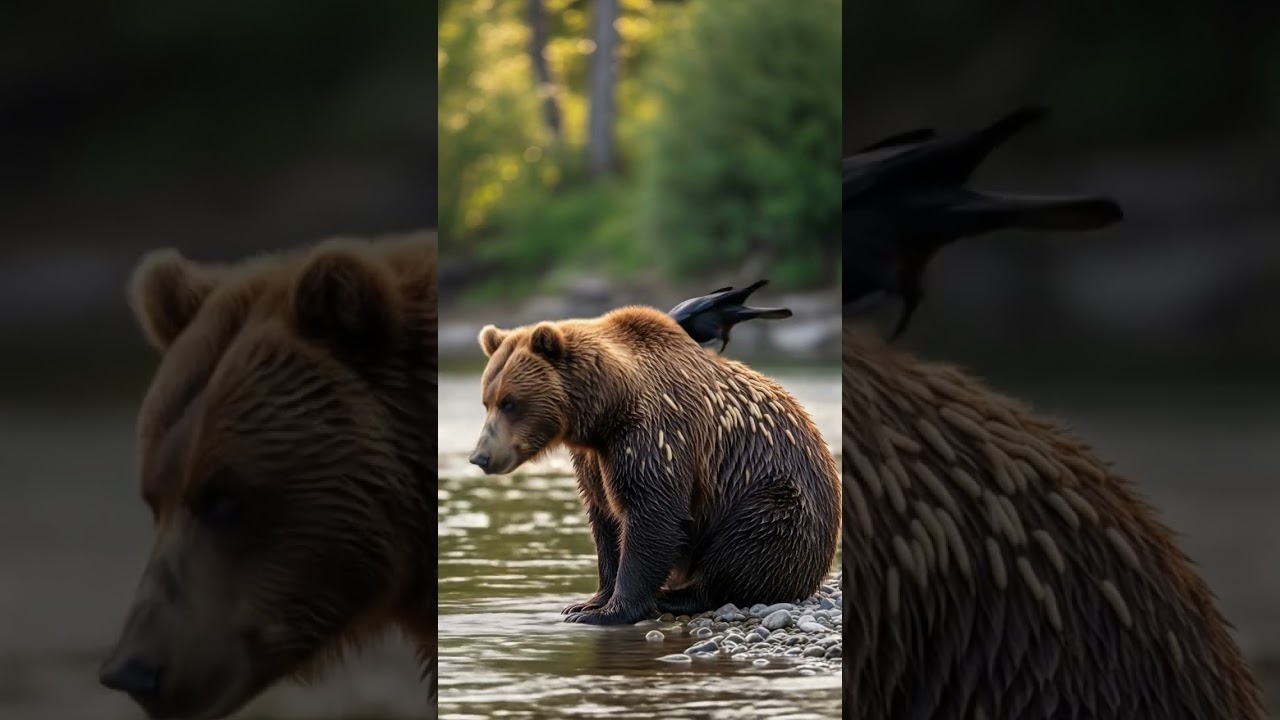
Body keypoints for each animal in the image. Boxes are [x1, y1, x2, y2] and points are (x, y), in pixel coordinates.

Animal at [469, 305, 841, 626]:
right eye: (487, 400)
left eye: (510, 402)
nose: (480, 456)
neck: (607, 411)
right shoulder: (594, 460)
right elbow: (605, 519)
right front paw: (587, 602)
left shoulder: (656, 435)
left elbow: (652, 516)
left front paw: (608, 611)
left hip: (777, 497)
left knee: (750, 540)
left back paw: (678, 595)